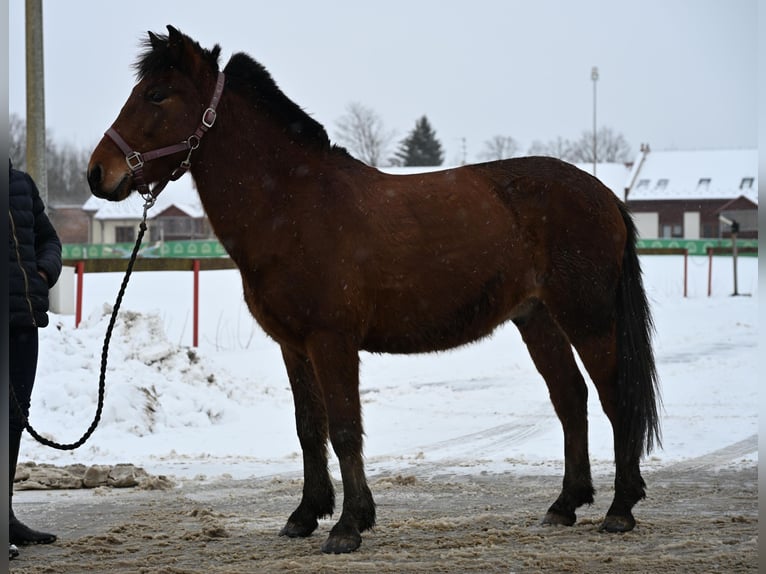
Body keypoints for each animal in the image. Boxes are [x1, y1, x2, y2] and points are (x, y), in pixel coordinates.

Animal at [88, 25, 660, 552]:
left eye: (157, 94)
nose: (98, 173)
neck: (292, 206)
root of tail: (605, 195)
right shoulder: (294, 347)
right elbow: (309, 429)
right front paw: (306, 515)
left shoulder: (331, 341)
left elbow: (344, 429)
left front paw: (347, 526)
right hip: (537, 318)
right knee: (571, 397)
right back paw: (565, 505)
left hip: (588, 318)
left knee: (615, 397)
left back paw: (620, 509)